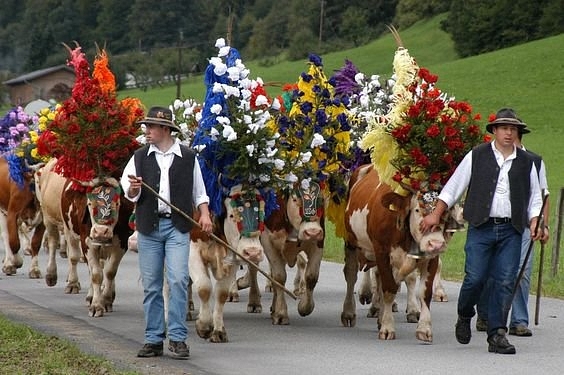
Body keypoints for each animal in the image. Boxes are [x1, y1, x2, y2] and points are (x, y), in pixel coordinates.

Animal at [35, 159, 134, 318]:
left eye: (117, 203)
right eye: (89, 203)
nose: (101, 232)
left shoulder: (121, 243)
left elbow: (110, 272)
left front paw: (107, 300)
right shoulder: (87, 243)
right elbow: (96, 274)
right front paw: (96, 305)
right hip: (57, 223)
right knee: (60, 247)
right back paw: (62, 280)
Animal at [191, 186, 266, 344]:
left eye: (261, 215)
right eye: (232, 215)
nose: (253, 253)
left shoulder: (232, 258)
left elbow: (221, 294)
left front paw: (218, 330)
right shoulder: (192, 250)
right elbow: (204, 287)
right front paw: (204, 326)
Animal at [340, 164, 450, 344]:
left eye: (444, 211)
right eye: (417, 209)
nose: (436, 244)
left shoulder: (430, 258)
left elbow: (424, 292)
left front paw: (424, 328)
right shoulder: (382, 252)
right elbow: (389, 288)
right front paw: (387, 328)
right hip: (351, 241)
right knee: (351, 274)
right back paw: (349, 312)